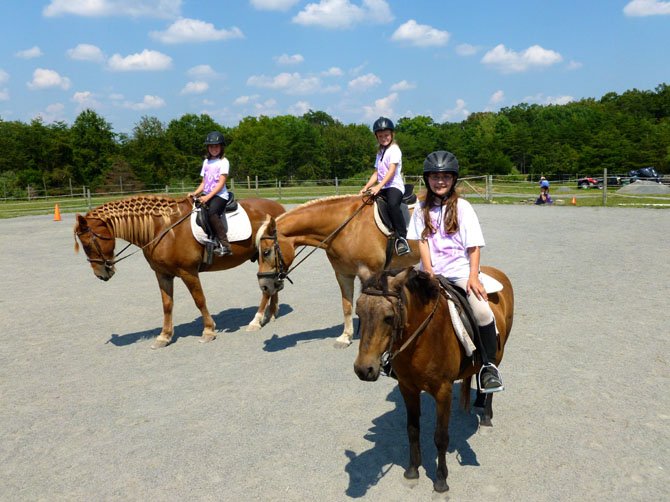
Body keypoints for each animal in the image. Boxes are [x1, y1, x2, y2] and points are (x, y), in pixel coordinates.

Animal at [75, 194, 286, 348]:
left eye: (87, 244)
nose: (101, 274)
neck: (163, 229)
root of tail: (279, 208)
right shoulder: (162, 274)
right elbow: (167, 304)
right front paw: (164, 336)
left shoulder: (188, 272)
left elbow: (199, 300)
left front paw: (208, 331)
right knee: (272, 285)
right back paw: (271, 314)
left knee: (266, 290)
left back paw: (256, 321)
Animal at [258, 194, 420, 348]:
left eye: (266, 252)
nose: (264, 285)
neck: (347, 228)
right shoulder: (343, 274)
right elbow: (346, 306)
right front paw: (346, 337)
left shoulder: (371, 273)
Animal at [354, 268, 516, 492]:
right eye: (358, 313)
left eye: (388, 317)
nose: (363, 369)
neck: (422, 339)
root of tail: (496, 271)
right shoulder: (407, 388)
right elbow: (412, 430)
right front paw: (412, 470)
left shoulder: (443, 391)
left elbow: (440, 437)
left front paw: (441, 479)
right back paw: (475, 401)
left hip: (498, 353)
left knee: (490, 371)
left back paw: (486, 415)